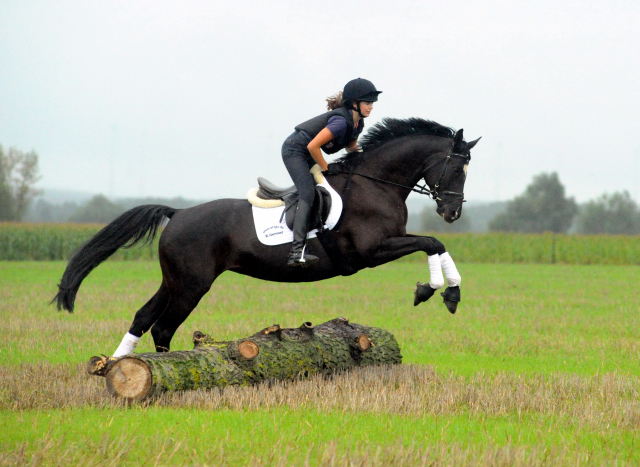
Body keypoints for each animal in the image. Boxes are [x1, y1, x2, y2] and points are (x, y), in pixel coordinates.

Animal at [52, 118, 478, 354]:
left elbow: (436, 244)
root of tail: (178, 213)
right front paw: (432, 290)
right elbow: (432, 243)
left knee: (143, 317)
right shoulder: (370, 252)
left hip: (174, 280)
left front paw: (451, 292)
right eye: (458, 169)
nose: (452, 212)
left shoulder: (386, 244)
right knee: (162, 326)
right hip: (191, 285)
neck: (376, 183)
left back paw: (121, 363)